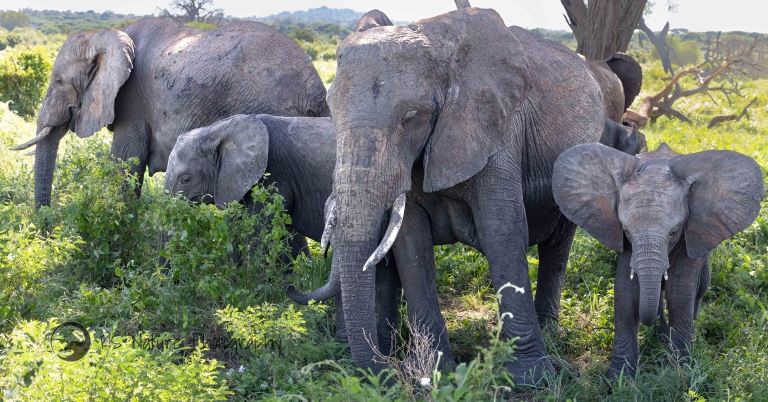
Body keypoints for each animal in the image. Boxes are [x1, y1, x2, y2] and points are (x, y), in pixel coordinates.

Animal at [12, 19, 330, 208]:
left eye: (58, 82)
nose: (47, 227)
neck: (106, 33)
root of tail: (316, 90)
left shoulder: (132, 103)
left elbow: (125, 166)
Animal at [288, 8, 605, 383]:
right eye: (331, 111)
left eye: (412, 117)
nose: (387, 372)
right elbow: (410, 243)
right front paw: (431, 374)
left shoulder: (494, 126)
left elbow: (502, 231)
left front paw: (530, 378)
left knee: (557, 246)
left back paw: (549, 334)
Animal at [552, 142, 764, 378]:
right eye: (626, 231)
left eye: (674, 232)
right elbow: (626, 291)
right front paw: (619, 376)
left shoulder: (690, 233)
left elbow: (679, 292)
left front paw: (676, 372)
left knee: (699, 288)